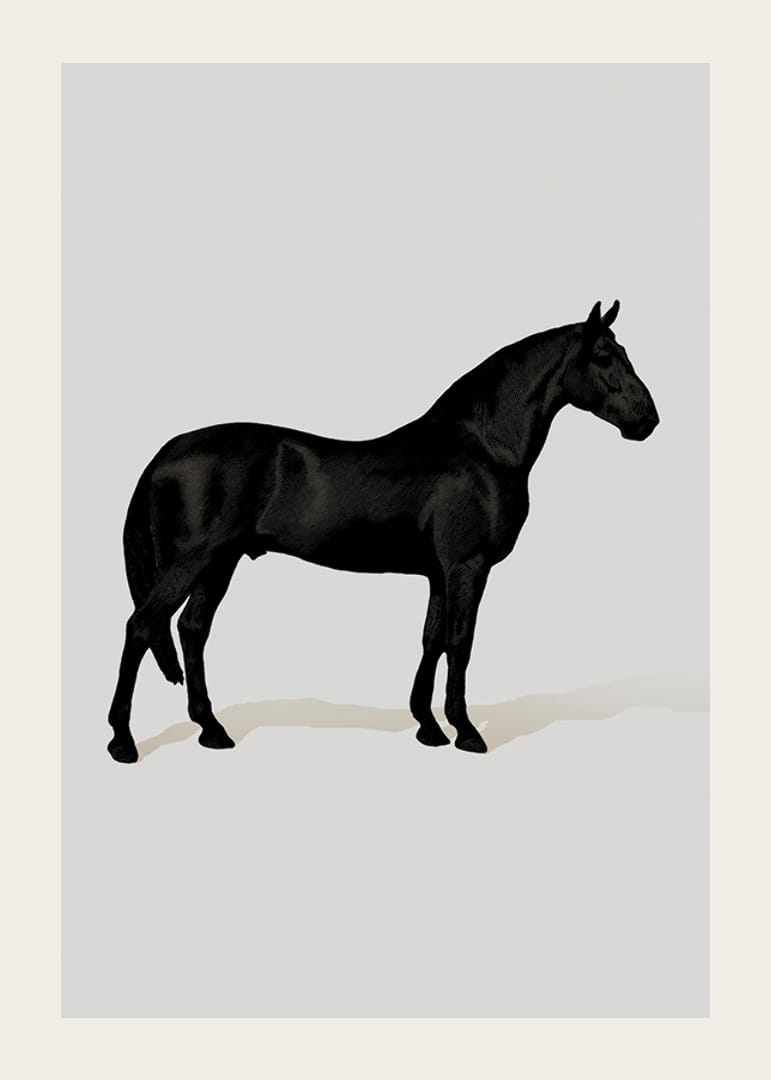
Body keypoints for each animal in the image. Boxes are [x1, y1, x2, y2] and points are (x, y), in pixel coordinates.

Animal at [107, 300, 659, 763]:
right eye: (604, 356)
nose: (648, 420)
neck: (482, 447)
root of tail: (168, 450)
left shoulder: (438, 573)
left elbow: (432, 640)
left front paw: (429, 728)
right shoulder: (468, 566)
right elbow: (461, 641)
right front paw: (466, 732)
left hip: (219, 563)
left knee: (191, 630)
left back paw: (212, 730)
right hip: (194, 560)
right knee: (142, 626)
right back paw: (123, 741)